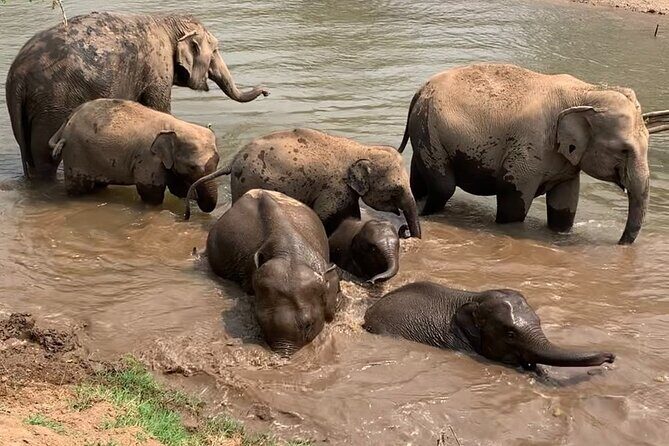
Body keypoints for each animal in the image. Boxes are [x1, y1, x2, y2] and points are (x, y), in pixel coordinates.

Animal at [6, 12, 268, 180]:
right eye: (215, 51)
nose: (266, 91)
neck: (167, 22)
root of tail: (18, 75)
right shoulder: (158, 67)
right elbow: (160, 107)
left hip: (25, 108)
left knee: (29, 155)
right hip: (52, 104)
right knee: (44, 157)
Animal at [48, 99, 220, 211]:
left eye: (218, 161)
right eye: (192, 167)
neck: (176, 125)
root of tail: (69, 119)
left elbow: (177, 188)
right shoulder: (148, 158)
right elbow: (151, 193)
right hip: (75, 152)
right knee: (78, 187)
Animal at [185, 128, 422, 238]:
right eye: (396, 189)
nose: (404, 231)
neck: (361, 149)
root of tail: (232, 161)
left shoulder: (345, 191)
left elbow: (352, 214)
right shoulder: (334, 188)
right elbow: (322, 216)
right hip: (245, 182)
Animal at [399, 63, 669, 244]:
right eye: (624, 150)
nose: (620, 244)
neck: (586, 91)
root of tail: (421, 90)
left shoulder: (567, 164)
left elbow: (564, 209)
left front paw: (561, 234)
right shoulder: (528, 150)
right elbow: (513, 204)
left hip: (424, 129)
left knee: (419, 176)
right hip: (431, 131)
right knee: (443, 187)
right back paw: (425, 214)